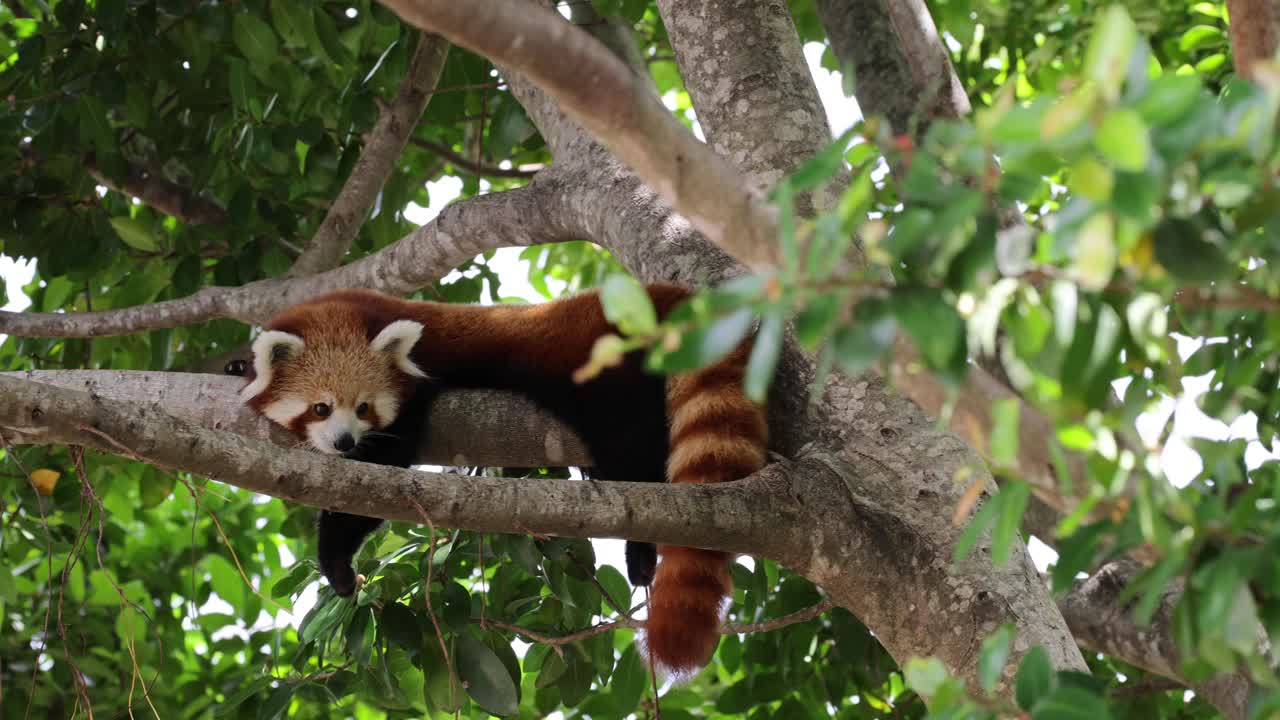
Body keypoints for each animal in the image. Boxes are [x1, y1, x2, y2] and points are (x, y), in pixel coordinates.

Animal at [240, 281, 762, 671]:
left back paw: (641, 551)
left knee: (633, 455)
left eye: (363, 407)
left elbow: (379, 479)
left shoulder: (417, 392)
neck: (352, 309)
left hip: (609, 382)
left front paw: (336, 562)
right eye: (321, 408)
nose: (345, 443)